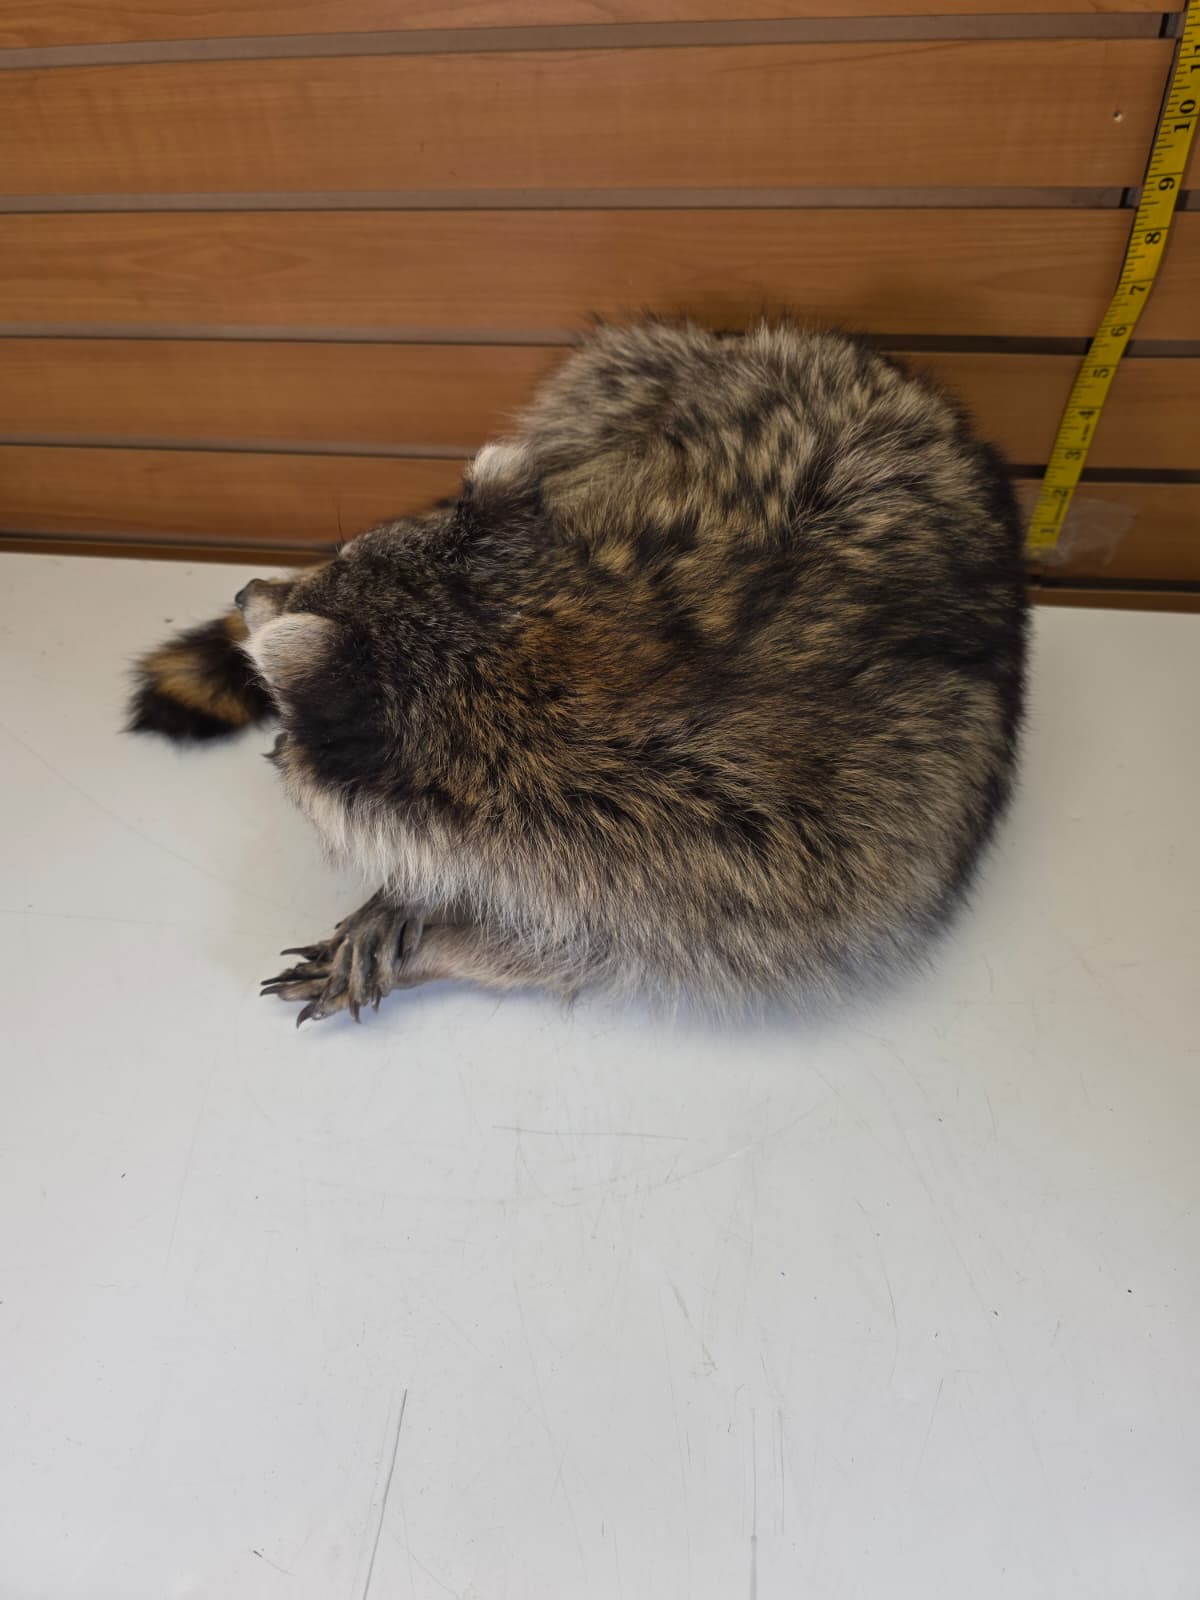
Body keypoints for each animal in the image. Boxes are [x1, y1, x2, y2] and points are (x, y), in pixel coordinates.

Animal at [129, 320, 1027, 1025]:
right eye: (337, 555)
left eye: (315, 586)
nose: (246, 590)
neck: (550, 649)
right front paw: (411, 895)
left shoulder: (736, 873)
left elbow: (592, 950)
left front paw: (447, 936)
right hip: (618, 381)